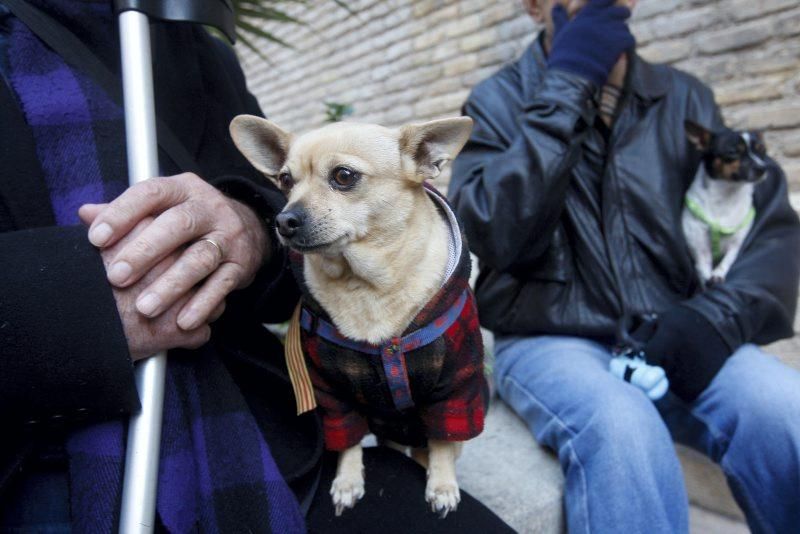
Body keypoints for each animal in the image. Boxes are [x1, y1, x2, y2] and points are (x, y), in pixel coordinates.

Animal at [228, 114, 484, 520]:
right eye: (285, 181)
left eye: (344, 176)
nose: (283, 220)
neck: (366, 286)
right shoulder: (333, 395)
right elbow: (347, 439)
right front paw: (347, 481)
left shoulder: (456, 389)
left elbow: (443, 441)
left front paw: (442, 485)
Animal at [680, 120, 768, 288]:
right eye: (732, 153)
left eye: (762, 150)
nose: (763, 168)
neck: (725, 196)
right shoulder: (700, 250)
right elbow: (703, 271)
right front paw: (708, 280)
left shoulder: (736, 244)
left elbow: (727, 260)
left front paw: (718, 275)